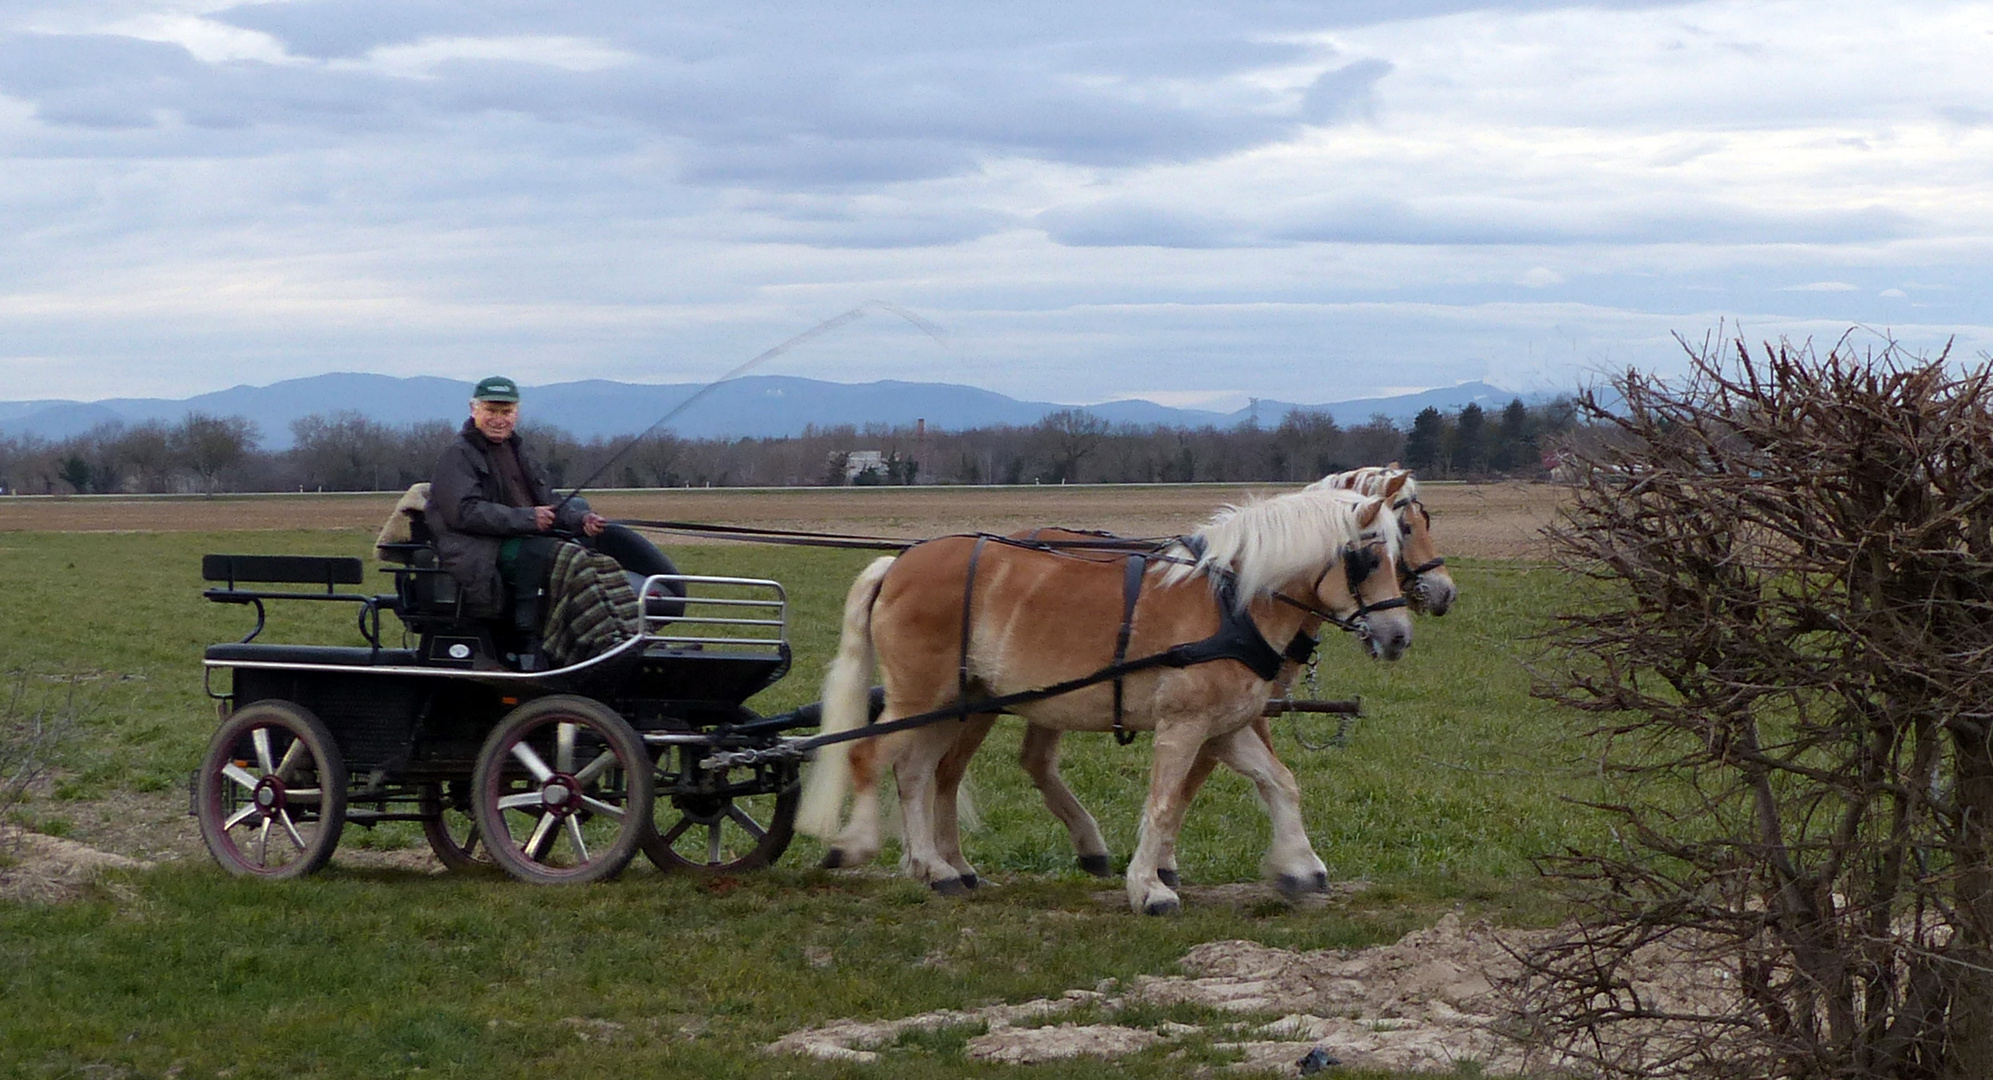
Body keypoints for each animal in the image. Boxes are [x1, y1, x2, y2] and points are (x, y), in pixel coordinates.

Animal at [797, 486, 1419, 920]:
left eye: (1400, 551)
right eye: (1369, 559)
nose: (1398, 637)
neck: (1229, 603)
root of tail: (900, 562)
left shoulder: (1227, 726)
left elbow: (1281, 783)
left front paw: (1301, 865)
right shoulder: (1183, 724)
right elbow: (1163, 804)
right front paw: (1150, 887)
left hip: (958, 702)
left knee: (918, 771)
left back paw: (938, 868)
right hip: (920, 695)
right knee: (871, 756)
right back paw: (858, 846)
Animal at [1004, 466, 1458, 880]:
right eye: (1405, 529)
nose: (1445, 594)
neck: (1245, 596)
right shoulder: (1223, 710)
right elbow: (1197, 781)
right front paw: (1165, 863)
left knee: (1036, 761)